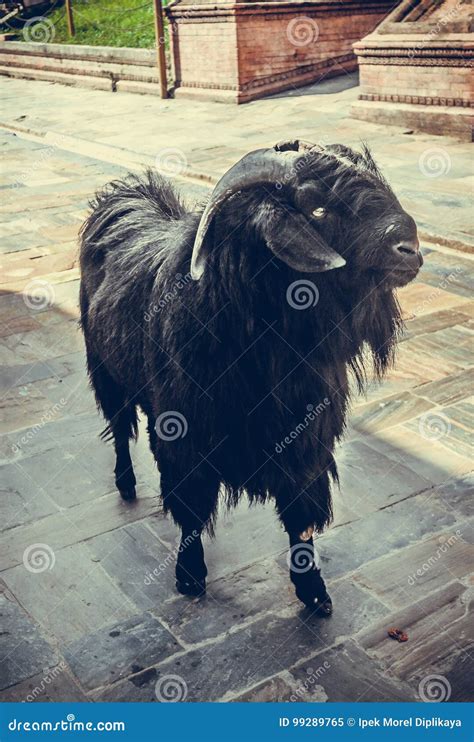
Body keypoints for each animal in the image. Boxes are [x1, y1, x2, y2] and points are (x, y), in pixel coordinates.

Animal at [78, 141, 422, 616]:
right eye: (316, 208)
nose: (410, 248)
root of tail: (123, 197)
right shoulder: (186, 434)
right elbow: (189, 505)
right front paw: (189, 575)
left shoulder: (305, 439)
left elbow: (300, 514)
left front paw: (314, 592)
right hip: (105, 371)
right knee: (119, 428)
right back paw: (126, 484)